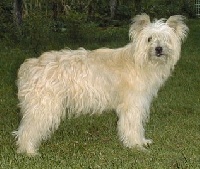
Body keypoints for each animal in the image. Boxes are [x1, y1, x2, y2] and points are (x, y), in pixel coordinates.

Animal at [13, 13, 188, 155]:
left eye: (166, 39)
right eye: (149, 39)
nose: (159, 49)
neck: (139, 62)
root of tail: (29, 66)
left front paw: (141, 142)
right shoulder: (132, 105)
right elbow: (133, 126)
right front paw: (136, 146)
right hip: (44, 107)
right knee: (28, 129)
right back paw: (28, 151)